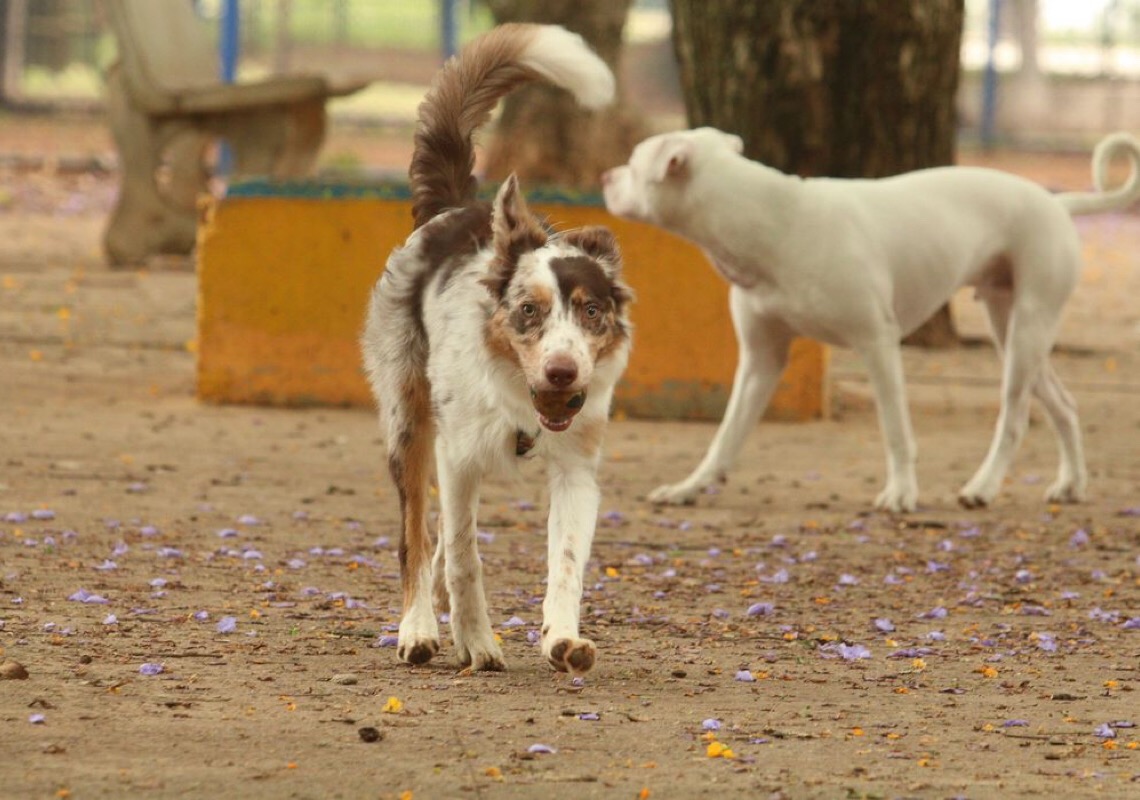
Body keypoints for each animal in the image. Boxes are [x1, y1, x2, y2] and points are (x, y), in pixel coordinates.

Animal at [362, 25, 633, 674]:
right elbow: (462, 555)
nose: (562, 372)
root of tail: (454, 207)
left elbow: (566, 564)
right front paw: (478, 642)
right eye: (528, 310)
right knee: (416, 538)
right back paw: (419, 628)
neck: (519, 401)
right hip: (408, 423)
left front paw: (562, 639)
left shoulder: (577, 471)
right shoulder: (457, 457)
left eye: (591, 311)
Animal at [601, 127, 1135, 510]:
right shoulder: (760, 361)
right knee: (1064, 406)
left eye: (633, 161)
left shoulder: (878, 345)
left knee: (1016, 416)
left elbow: (895, 429)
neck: (774, 223)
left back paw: (982, 487)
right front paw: (689, 487)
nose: (606, 177)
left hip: (1026, 333)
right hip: (1014, 332)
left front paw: (902, 492)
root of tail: (1057, 202)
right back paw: (1071, 485)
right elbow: (726, 436)